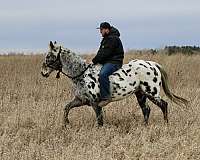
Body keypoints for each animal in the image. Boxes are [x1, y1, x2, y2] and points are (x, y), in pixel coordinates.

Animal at [41, 42, 188, 127]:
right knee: (146, 109)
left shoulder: (95, 103)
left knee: (164, 105)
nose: (43, 72)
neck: (82, 74)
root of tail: (153, 64)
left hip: (151, 92)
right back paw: (144, 126)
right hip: (140, 94)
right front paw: (66, 124)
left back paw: (166, 124)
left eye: (49, 56)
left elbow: (99, 120)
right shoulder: (81, 100)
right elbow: (66, 108)